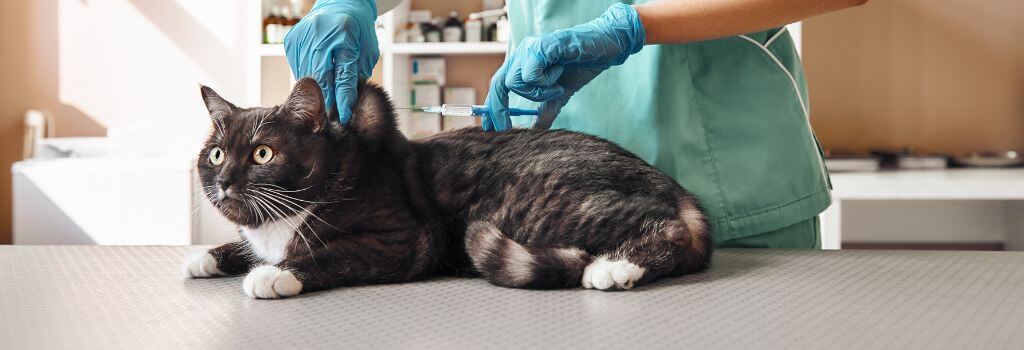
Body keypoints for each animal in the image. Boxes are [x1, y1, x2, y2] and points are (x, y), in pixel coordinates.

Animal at [184, 76, 712, 298]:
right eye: (216, 154)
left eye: (262, 154)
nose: (225, 181)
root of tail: (681, 192)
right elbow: (247, 246)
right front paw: (209, 255)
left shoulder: (403, 239)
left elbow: (332, 253)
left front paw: (275, 274)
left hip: (541, 201)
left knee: (667, 231)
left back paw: (613, 267)